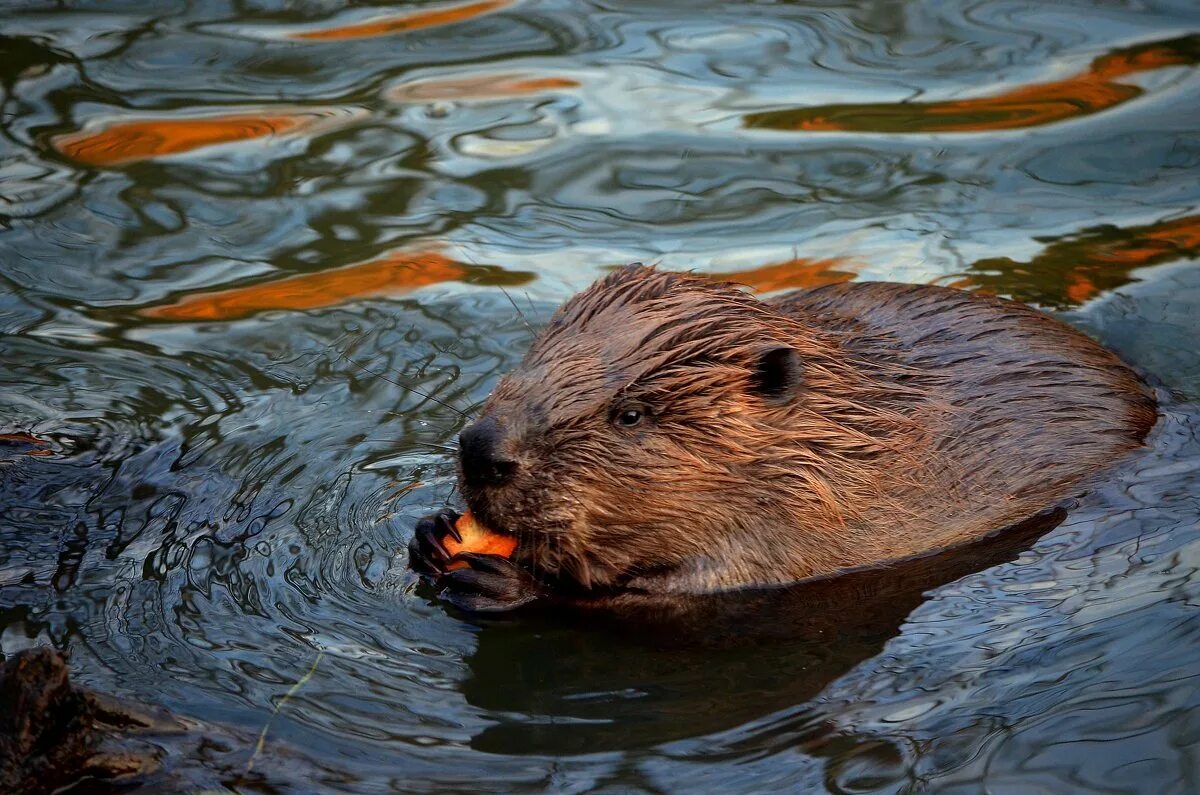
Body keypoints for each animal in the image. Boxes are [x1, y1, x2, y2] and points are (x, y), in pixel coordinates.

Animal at [408, 266, 1156, 610]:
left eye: (631, 415)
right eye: (534, 353)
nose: (483, 451)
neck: (839, 439)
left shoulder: (793, 536)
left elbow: (663, 597)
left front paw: (500, 578)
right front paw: (431, 533)